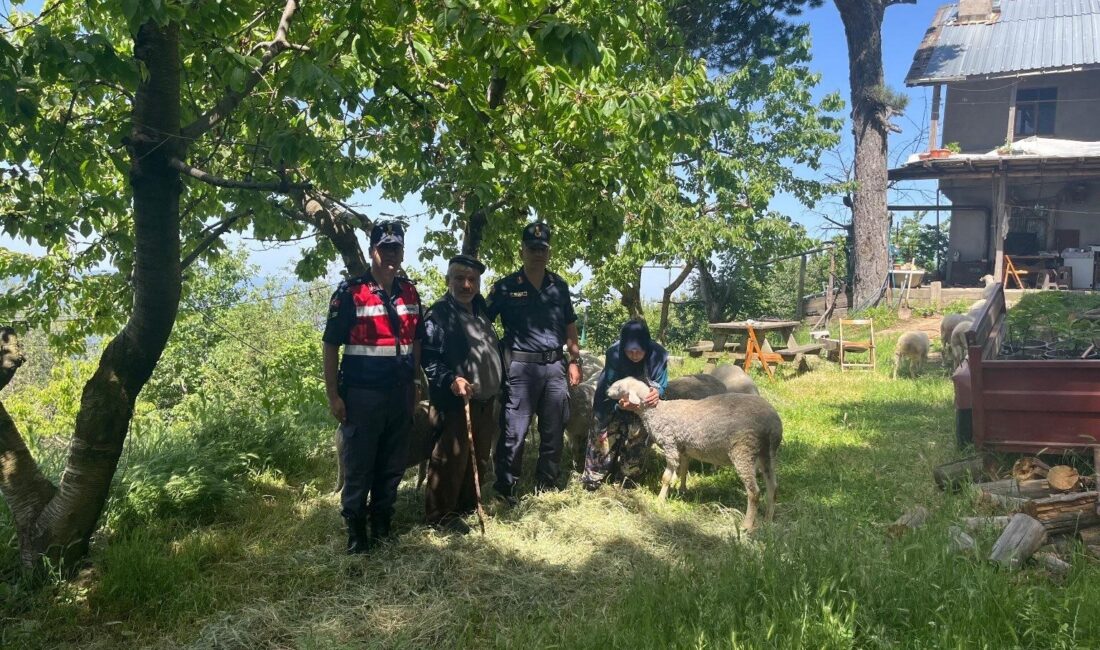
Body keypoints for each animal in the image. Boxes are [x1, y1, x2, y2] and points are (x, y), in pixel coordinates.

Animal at [602, 376, 783, 527]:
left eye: (619, 387)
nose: (606, 391)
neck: (656, 411)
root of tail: (772, 420)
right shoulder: (683, 448)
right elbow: (683, 470)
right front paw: (682, 490)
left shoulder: (670, 445)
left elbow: (666, 478)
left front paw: (660, 501)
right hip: (767, 452)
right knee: (773, 487)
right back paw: (768, 519)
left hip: (744, 450)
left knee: (754, 492)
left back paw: (747, 526)